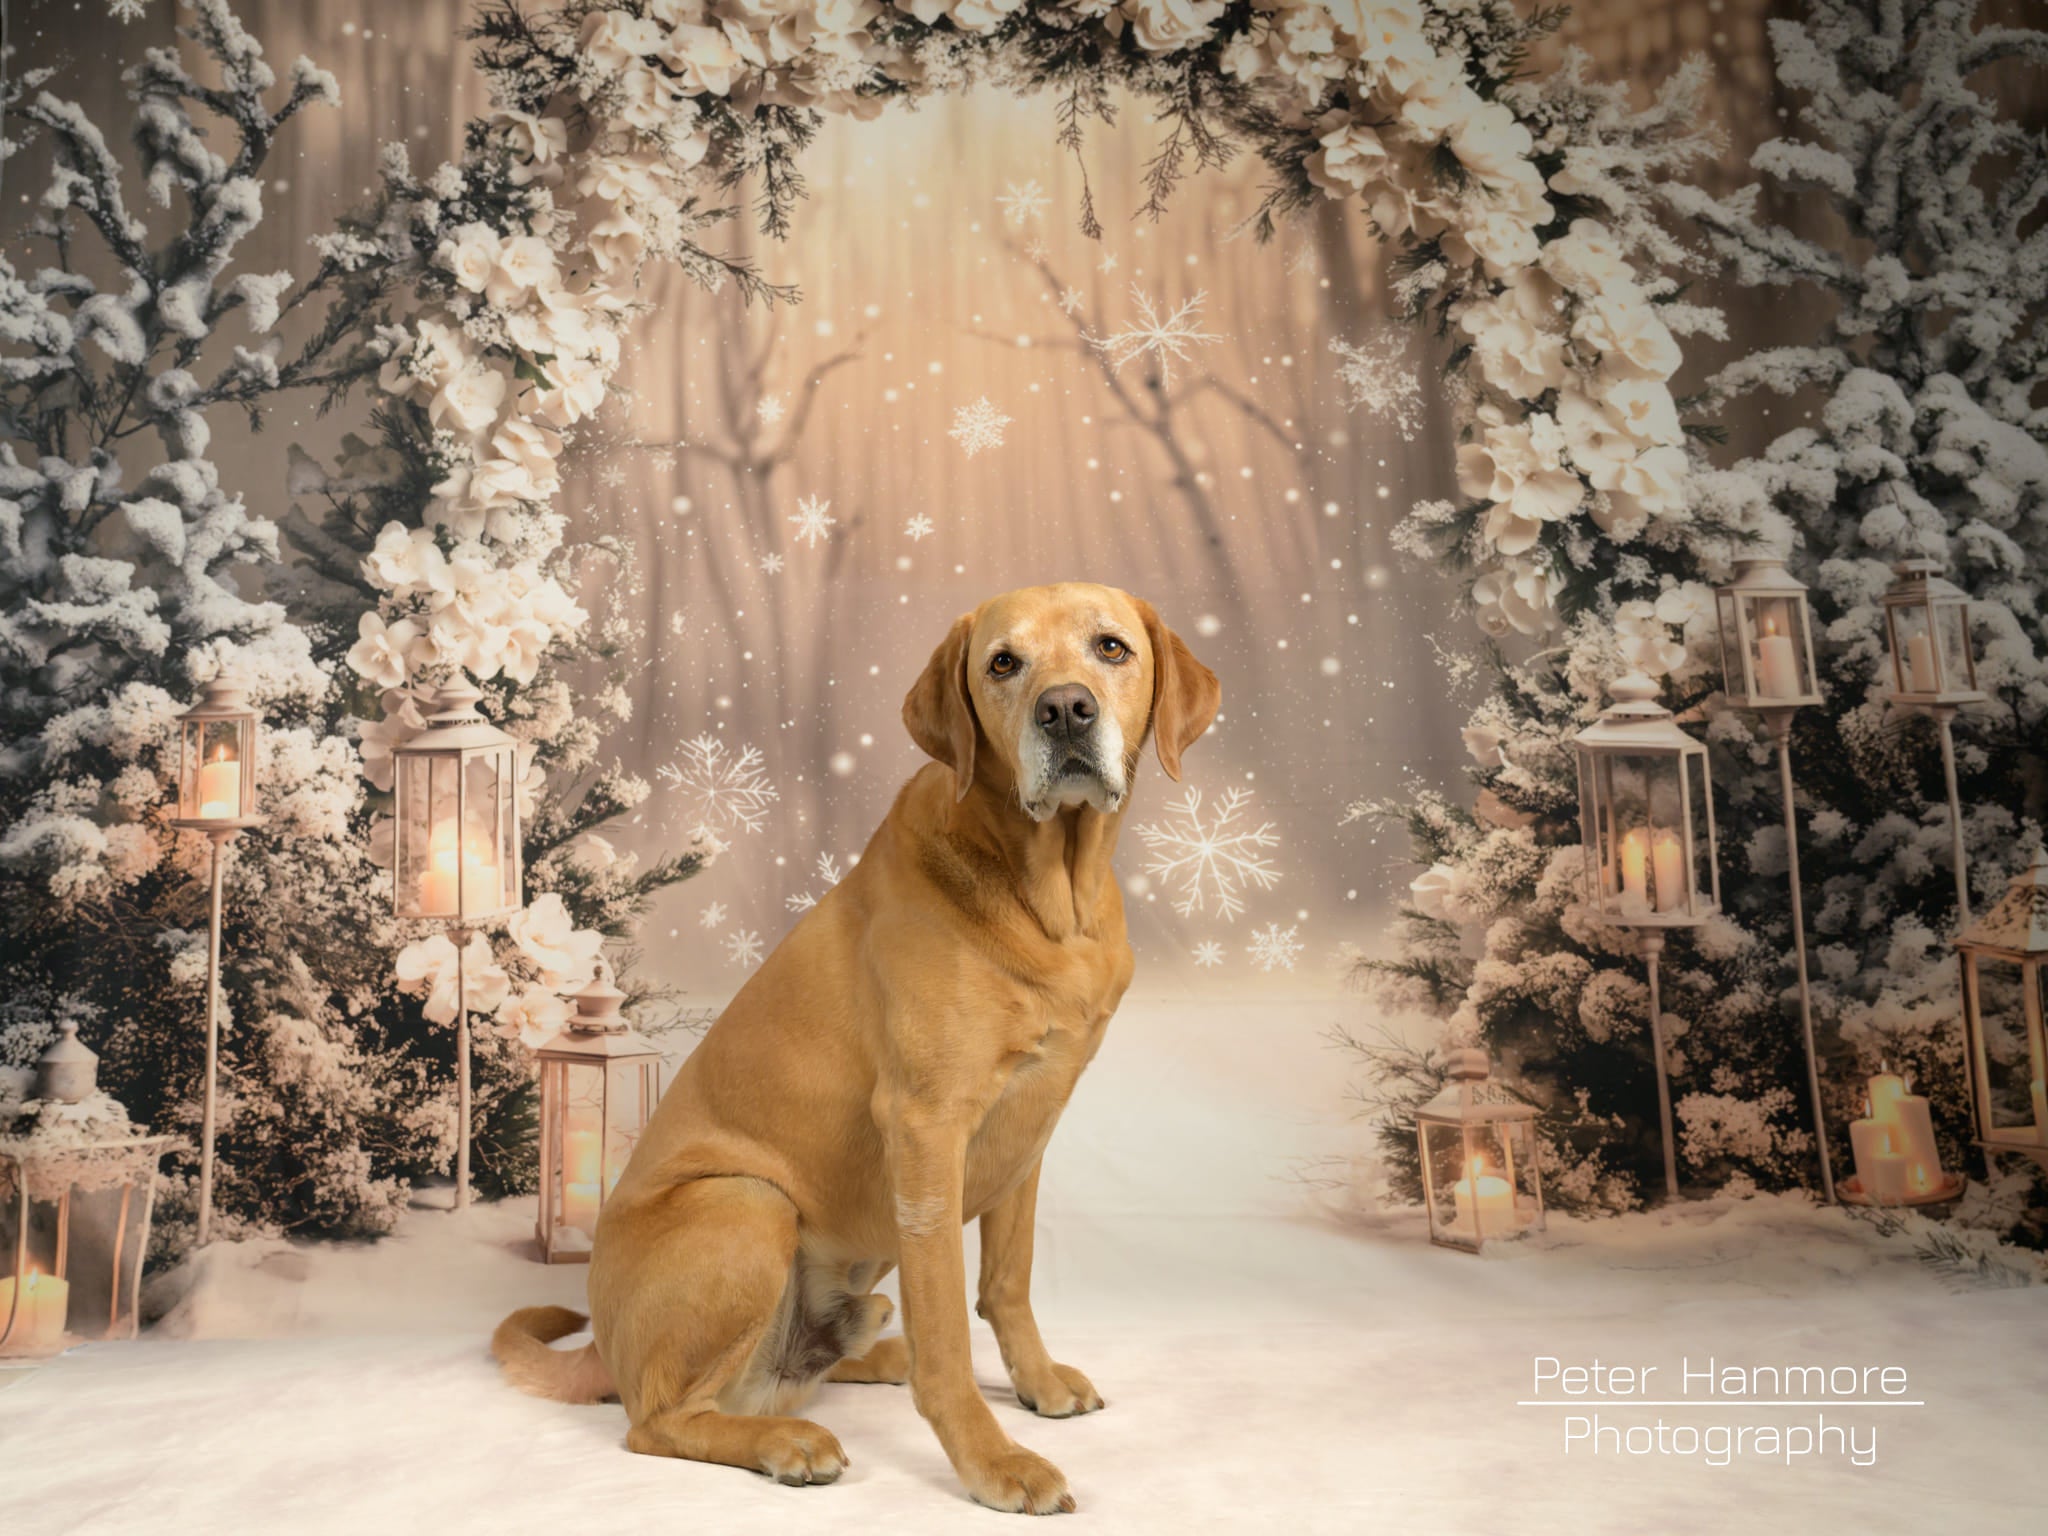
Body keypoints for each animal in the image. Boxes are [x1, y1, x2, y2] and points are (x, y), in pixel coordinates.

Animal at [491, 581, 1212, 1515]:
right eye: (1003, 663)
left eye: (1111, 648)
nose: (1064, 710)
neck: (1053, 890)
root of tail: (601, 1346)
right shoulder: (927, 1129)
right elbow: (947, 1323)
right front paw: (993, 1459)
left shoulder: (1030, 1127)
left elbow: (1005, 1284)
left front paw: (1037, 1382)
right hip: (749, 1202)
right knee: (659, 1419)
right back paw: (788, 1442)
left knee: (784, 1373)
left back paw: (865, 1360)